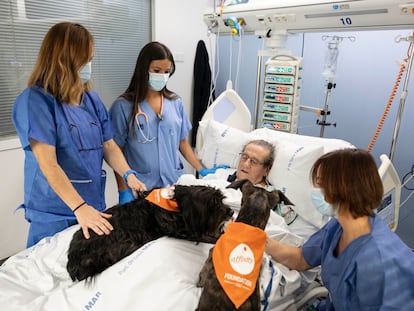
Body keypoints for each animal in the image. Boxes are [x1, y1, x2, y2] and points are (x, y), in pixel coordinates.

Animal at [65, 185, 233, 282]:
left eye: (221, 199)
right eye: (213, 204)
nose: (231, 212)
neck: (176, 204)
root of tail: (72, 259)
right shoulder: (183, 231)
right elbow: (207, 236)